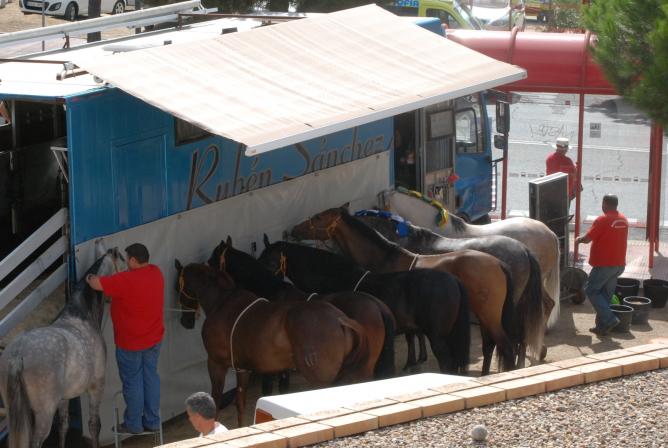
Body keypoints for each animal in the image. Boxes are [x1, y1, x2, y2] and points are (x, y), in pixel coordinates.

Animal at [0, 244, 125, 448]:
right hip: (43, 414)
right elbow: (94, 425)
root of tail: (18, 353)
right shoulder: (96, 386)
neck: (82, 314)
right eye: (123, 263)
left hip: (15, 414)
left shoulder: (64, 398)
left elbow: (63, 426)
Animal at [174, 260, 373, 427]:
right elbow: (240, 401)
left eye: (178, 285)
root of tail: (340, 319)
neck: (222, 303)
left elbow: (215, 400)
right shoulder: (243, 369)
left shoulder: (216, 364)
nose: (185, 321)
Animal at [291, 207, 517, 375]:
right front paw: (416, 359)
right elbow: (413, 334)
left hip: (489, 314)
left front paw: (411, 363)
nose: (293, 230)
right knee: (492, 345)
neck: (385, 258)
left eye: (319, 217)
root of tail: (499, 263)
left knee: (505, 345)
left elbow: (409, 336)